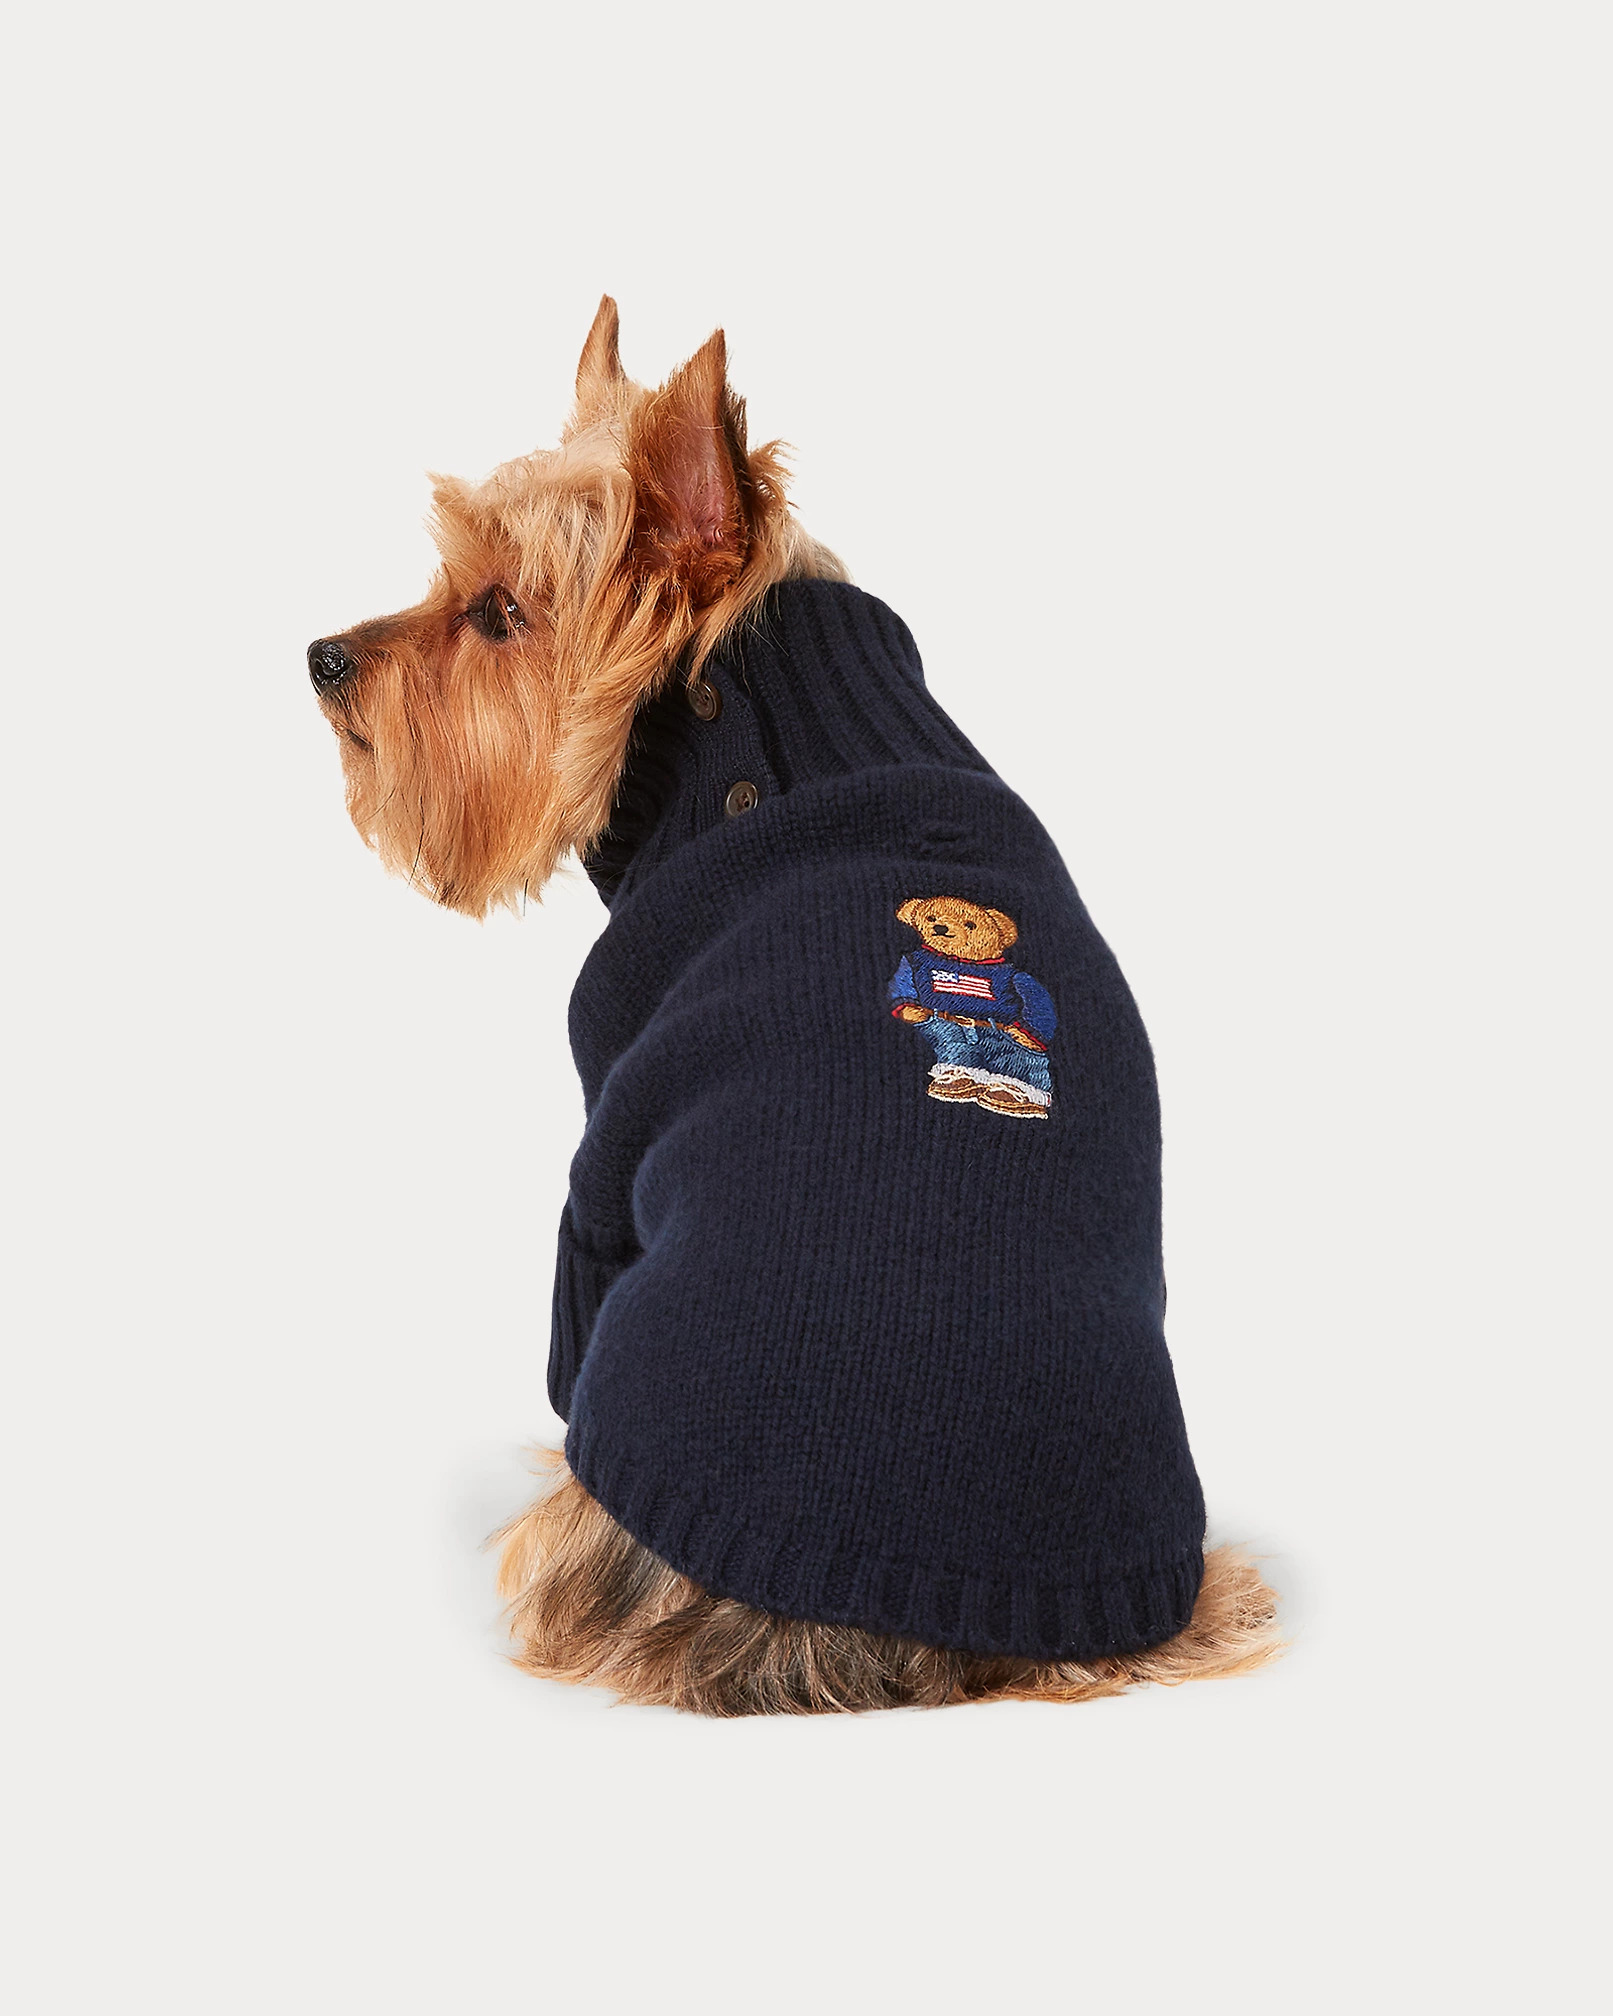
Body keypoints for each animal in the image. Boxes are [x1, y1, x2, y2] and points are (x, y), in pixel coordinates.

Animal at [888, 896, 1058, 1118]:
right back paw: (958, 1080)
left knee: (1022, 1062)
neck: (961, 959)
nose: (940, 928)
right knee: (958, 1048)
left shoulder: (1016, 976)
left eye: (971, 924)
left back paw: (1010, 1095)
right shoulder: (910, 964)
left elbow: (1033, 995)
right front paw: (913, 1012)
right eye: (930, 917)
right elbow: (905, 983)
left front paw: (1024, 1035)